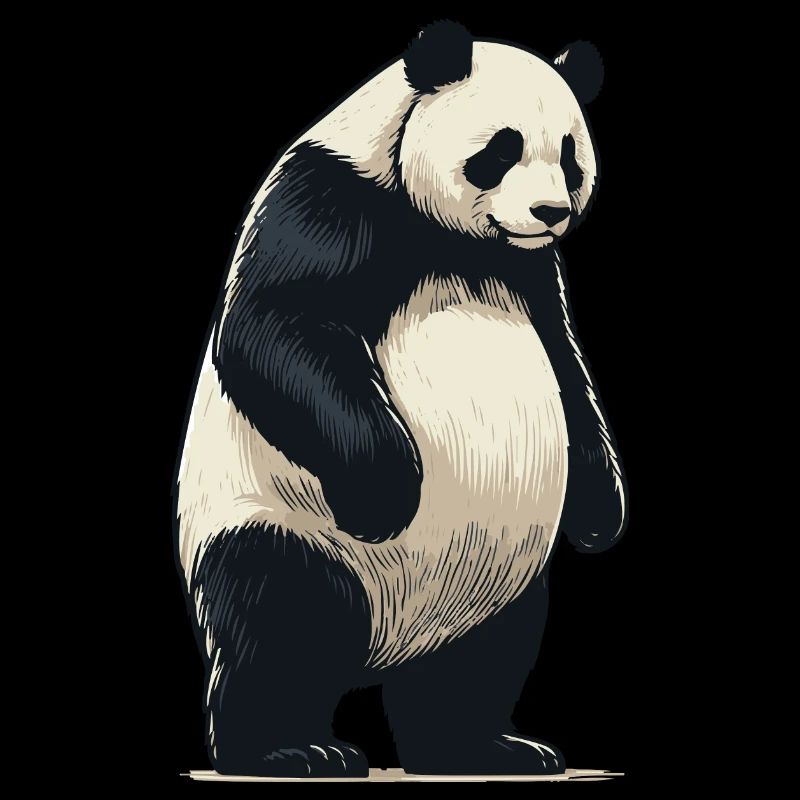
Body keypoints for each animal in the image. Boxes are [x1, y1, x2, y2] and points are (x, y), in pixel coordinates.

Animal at [176, 21, 627, 778]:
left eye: (569, 157)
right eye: (501, 150)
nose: (550, 213)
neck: (457, 242)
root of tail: (387, 644)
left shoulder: (531, 271)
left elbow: (568, 371)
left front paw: (600, 516)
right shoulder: (328, 199)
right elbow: (275, 327)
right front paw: (385, 492)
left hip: (500, 567)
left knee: (477, 659)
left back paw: (484, 748)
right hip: (278, 521)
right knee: (279, 615)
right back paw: (289, 749)